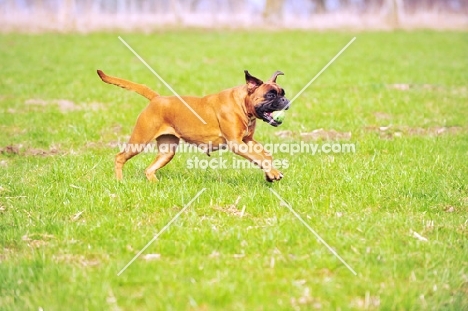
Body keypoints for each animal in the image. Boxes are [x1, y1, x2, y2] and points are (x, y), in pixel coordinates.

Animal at [97, 70, 288, 183]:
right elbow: (260, 157)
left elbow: (265, 155)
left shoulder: (247, 140)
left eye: (282, 93)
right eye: (271, 95)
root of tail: (157, 99)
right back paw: (120, 181)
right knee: (120, 157)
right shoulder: (237, 143)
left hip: (167, 151)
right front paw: (273, 173)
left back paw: (156, 185)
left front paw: (270, 173)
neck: (242, 103)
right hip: (139, 141)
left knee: (149, 169)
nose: (285, 100)